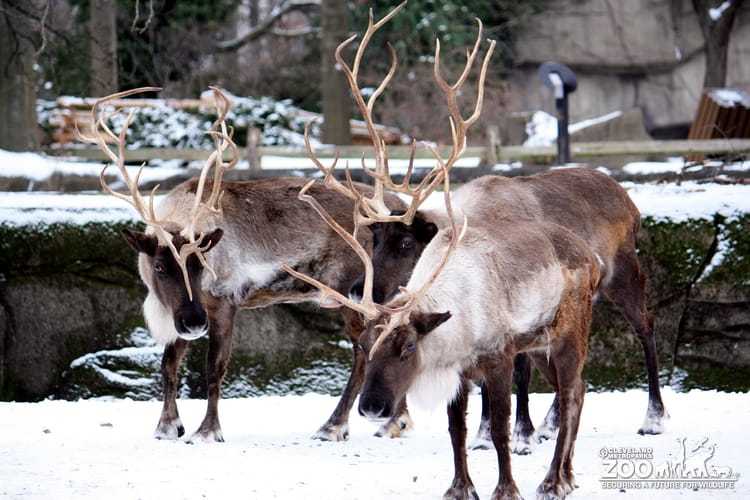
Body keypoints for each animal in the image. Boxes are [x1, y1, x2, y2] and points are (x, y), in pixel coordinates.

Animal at [350, 167, 669, 453]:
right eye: (375, 241)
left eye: (406, 243)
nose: (356, 288)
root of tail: (631, 203)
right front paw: (486, 434)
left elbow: (519, 375)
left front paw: (519, 435)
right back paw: (550, 424)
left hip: (622, 276)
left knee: (647, 327)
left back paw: (653, 418)